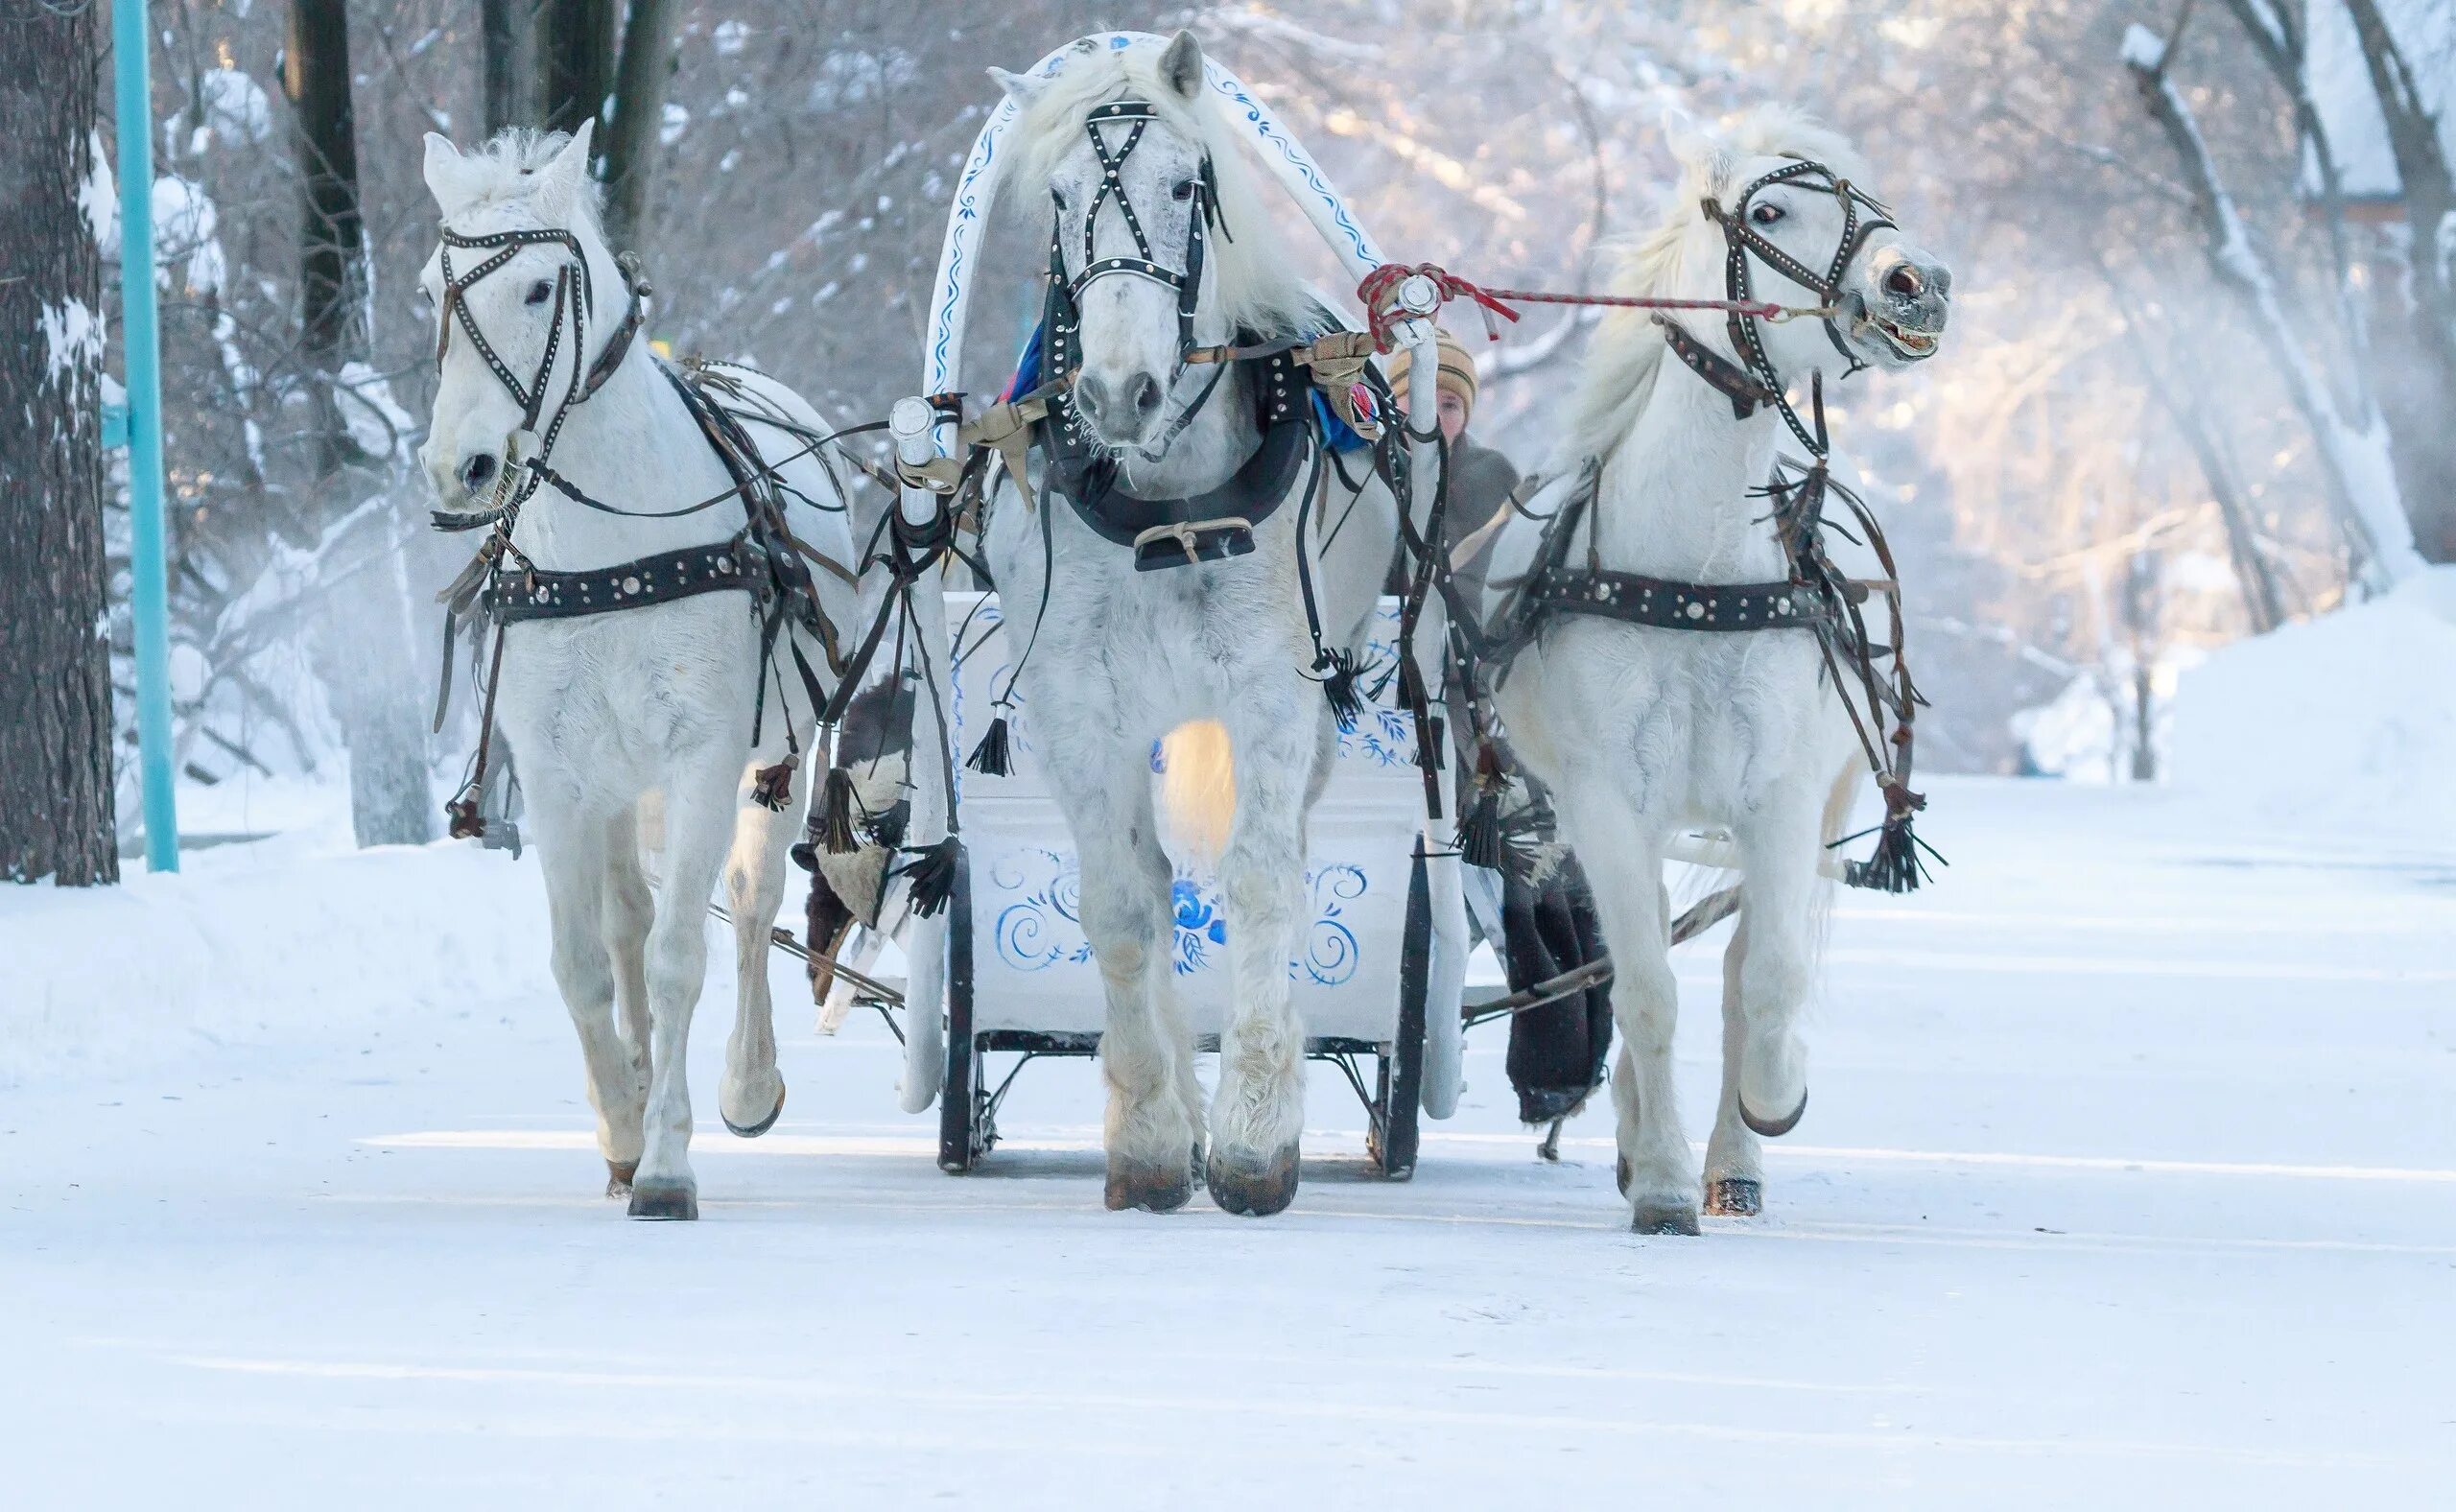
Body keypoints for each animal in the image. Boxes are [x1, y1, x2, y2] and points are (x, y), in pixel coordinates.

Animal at [419, 124, 874, 1222]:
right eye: (428, 291)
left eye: (541, 287)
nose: (460, 469)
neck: (611, 550)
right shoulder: (558, 774)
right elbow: (585, 961)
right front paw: (623, 1125)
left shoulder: (703, 758)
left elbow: (678, 958)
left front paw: (668, 1160)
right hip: (619, 779)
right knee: (627, 918)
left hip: (771, 757)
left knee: (748, 905)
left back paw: (746, 1082)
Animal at [1453, 112, 1954, 1232]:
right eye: (1769, 210)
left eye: (1876, 198)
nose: (1920, 282)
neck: (1695, 576)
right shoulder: (1604, 803)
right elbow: (1644, 990)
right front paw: (1663, 1180)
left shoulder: (1782, 800)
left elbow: (1762, 979)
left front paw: (1768, 1106)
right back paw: (1644, 1137)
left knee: (1734, 966)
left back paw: (1734, 1155)